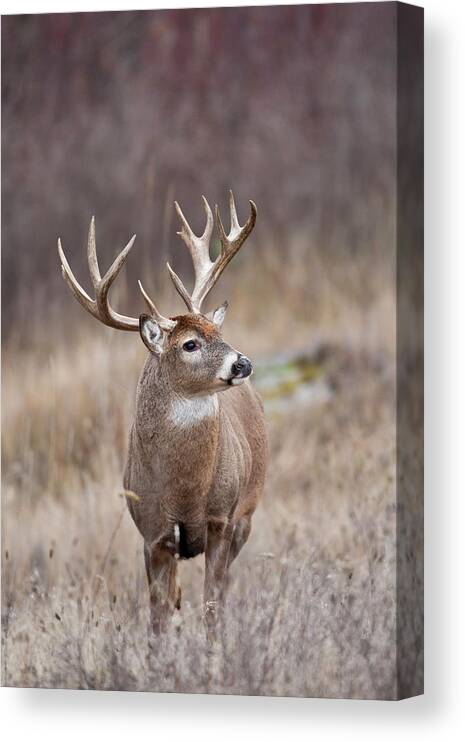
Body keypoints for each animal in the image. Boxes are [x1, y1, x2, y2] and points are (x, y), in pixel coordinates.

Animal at [57, 192, 266, 640]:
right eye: (189, 344)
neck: (184, 490)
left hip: (247, 514)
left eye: (218, 333)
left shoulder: (221, 519)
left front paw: (215, 653)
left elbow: (212, 606)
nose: (243, 363)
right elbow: (157, 615)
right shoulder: (152, 533)